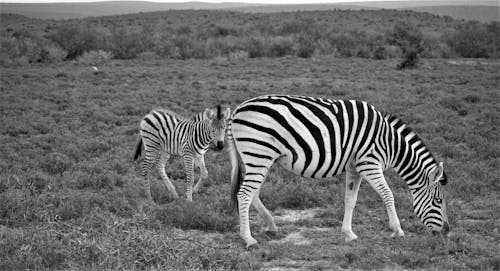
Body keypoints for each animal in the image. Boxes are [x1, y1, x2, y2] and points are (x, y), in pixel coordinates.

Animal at [229, 95, 452, 249]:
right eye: (439, 201)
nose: (447, 232)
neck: (389, 142)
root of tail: (237, 110)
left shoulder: (354, 168)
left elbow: (350, 200)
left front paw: (348, 234)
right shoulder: (369, 163)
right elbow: (388, 195)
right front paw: (397, 230)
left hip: (261, 158)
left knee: (253, 193)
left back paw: (271, 225)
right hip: (258, 154)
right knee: (244, 194)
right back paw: (248, 239)